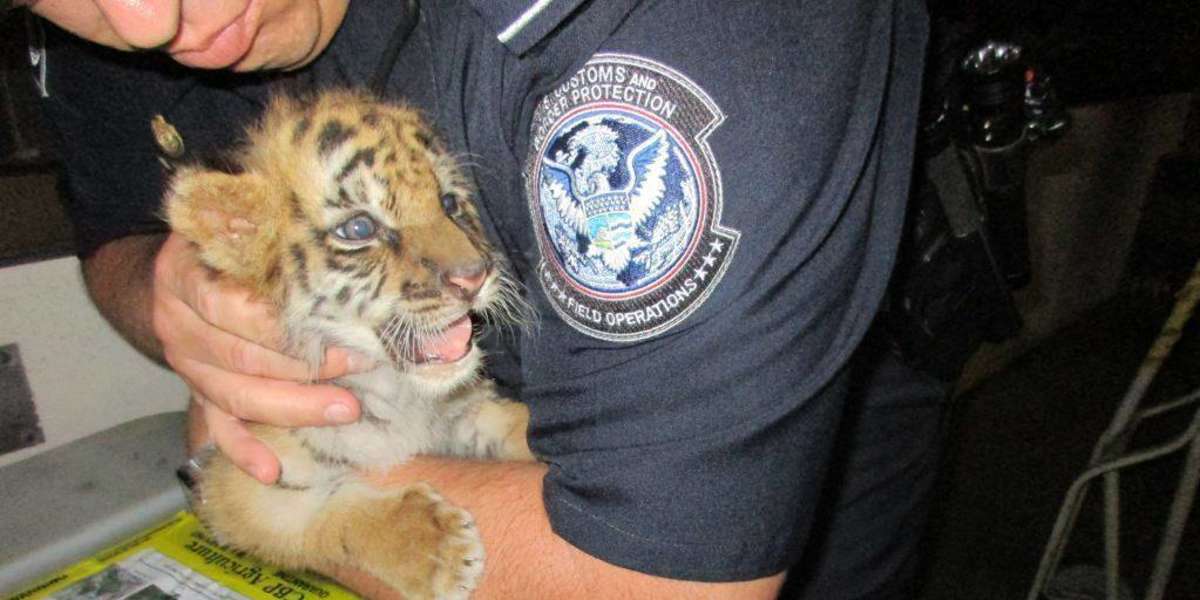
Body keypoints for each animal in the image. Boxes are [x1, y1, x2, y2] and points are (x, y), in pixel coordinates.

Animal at [163, 90, 534, 599]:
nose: (474, 276)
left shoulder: (462, 412)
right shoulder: (241, 484)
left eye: (448, 202)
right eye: (360, 229)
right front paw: (436, 549)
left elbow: (511, 423)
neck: (395, 391)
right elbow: (327, 519)